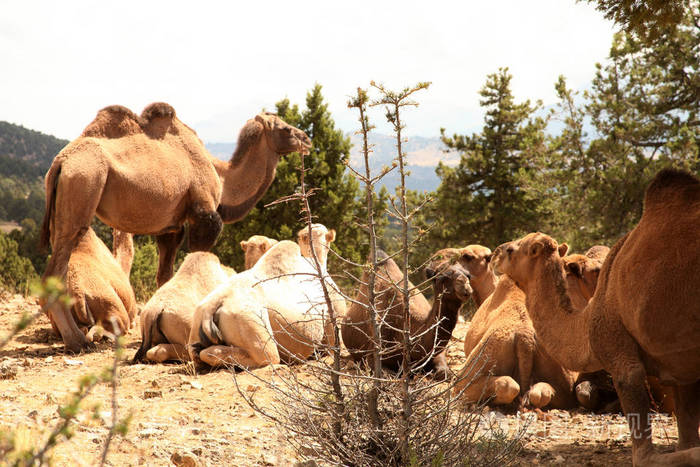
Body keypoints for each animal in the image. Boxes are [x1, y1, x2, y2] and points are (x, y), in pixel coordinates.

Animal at [40, 103, 308, 296]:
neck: (221, 177)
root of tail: (60, 162)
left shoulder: (171, 227)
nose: (306, 139)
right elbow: (198, 260)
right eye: (284, 128)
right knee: (57, 266)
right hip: (84, 181)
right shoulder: (204, 215)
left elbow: (164, 275)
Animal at [190, 225, 346, 372]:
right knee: (268, 357)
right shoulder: (333, 316)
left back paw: (198, 350)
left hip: (198, 317)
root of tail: (212, 306)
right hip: (248, 319)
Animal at [340, 249, 470, 380]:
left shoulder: (436, 354)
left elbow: (445, 373)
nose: (465, 284)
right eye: (442, 277)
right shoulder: (374, 353)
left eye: (468, 274)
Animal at [494, 170, 700, 467]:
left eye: (513, 250)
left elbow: (646, 455)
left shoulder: (619, 351)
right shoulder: (681, 364)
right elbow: (687, 428)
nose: (496, 253)